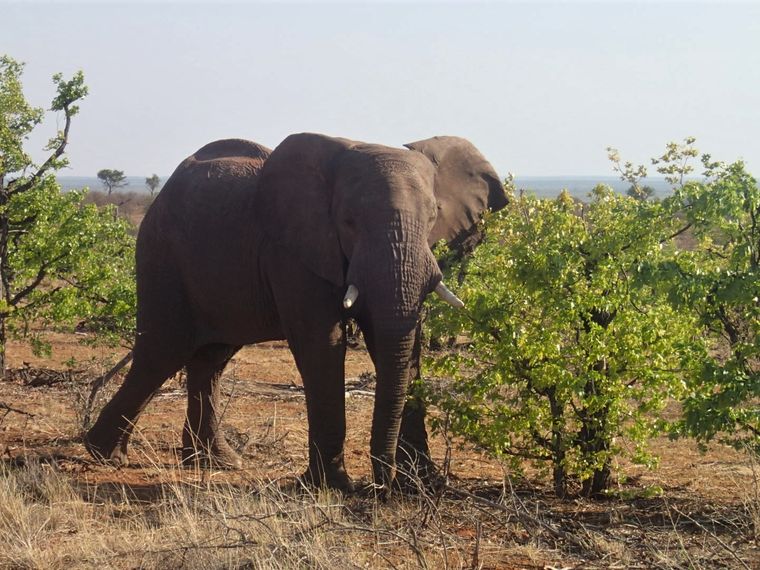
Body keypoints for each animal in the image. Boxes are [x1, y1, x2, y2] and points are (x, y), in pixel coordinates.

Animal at [85, 133, 508, 493]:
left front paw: (423, 484)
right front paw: (333, 487)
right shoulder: (292, 251)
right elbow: (323, 342)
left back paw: (216, 462)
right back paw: (105, 455)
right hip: (162, 255)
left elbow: (404, 342)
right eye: (348, 221)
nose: (380, 487)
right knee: (162, 352)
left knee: (211, 359)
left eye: (434, 216)